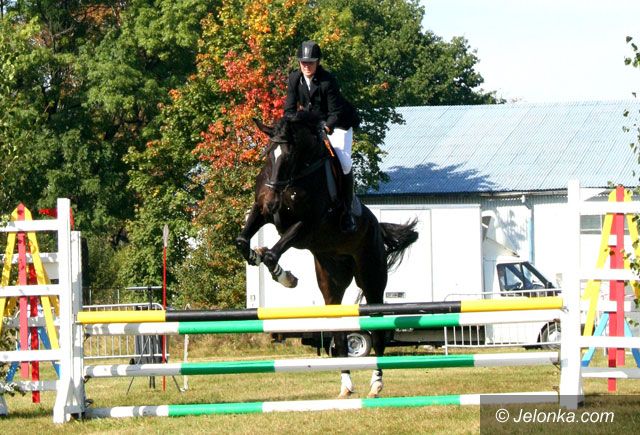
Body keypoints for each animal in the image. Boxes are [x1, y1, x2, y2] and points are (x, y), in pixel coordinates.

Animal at [235, 112, 418, 398]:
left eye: (288, 155)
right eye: (267, 154)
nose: (274, 201)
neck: (298, 174)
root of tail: (376, 226)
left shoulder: (306, 226)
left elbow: (273, 254)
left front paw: (285, 277)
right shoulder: (261, 211)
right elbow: (242, 241)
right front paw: (257, 257)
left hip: (372, 278)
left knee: (378, 330)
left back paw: (376, 384)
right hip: (331, 281)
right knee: (339, 333)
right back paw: (346, 386)